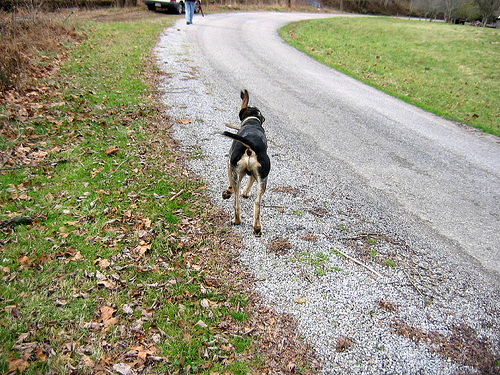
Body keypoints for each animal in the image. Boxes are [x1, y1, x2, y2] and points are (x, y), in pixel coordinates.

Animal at [222, 90, 270, 236]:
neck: (253, 121)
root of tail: (252, 145)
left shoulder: (230, 164)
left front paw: (228, 191)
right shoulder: (255, 175)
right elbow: (249, 184)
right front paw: (246, 193)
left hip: (236, 174)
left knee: (236, 201)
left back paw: (236, 220)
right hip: (263, 179)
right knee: (257, 202)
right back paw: (257, 228)